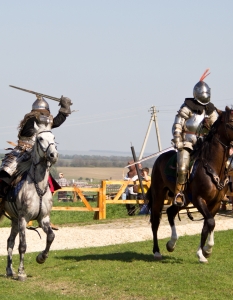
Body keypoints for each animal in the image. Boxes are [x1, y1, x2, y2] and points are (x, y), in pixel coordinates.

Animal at [2, 123, 58, 280]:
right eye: (40, 138)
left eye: (53, 137)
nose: (53, 155)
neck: (37, 186)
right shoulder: (23, 219)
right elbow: (23, 246)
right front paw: (21, 273)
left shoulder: (43, 218)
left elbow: (51, 236)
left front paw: (41, 257)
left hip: (14, 220)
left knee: (10, 241)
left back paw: (9, 270)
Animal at [147, 107, 233, 262]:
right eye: (231, 122)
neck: (211, 166)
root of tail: (159, 159)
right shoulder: (199, 199)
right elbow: (210, 222)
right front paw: (206, 250)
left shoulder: (215, 203)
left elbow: (207, 225)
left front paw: (203, 253)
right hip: (158, 196)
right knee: (156, 220)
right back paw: (156, 251)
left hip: (183, 200)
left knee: (170, 213)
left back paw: (171, 243)